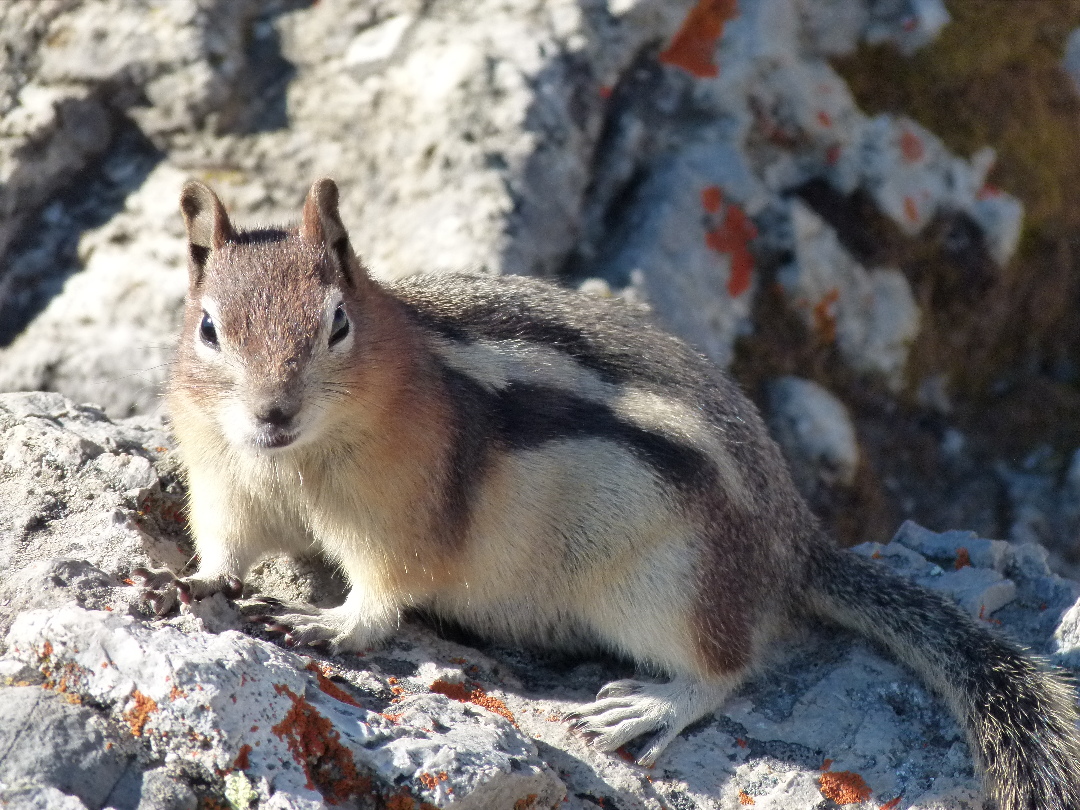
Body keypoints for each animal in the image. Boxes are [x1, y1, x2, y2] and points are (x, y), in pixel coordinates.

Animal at [139, 177, 1080, 810]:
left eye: (337, 324)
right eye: (208, 329)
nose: (272, 412)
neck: (293, 462)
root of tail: (793, 545)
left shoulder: (399, 516)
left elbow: (383, 594)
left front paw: (329, 624)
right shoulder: (224, 481)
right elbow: (223, 545)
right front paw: (190, 579)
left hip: (667, 586)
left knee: (729, 665)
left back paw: (651, 705)